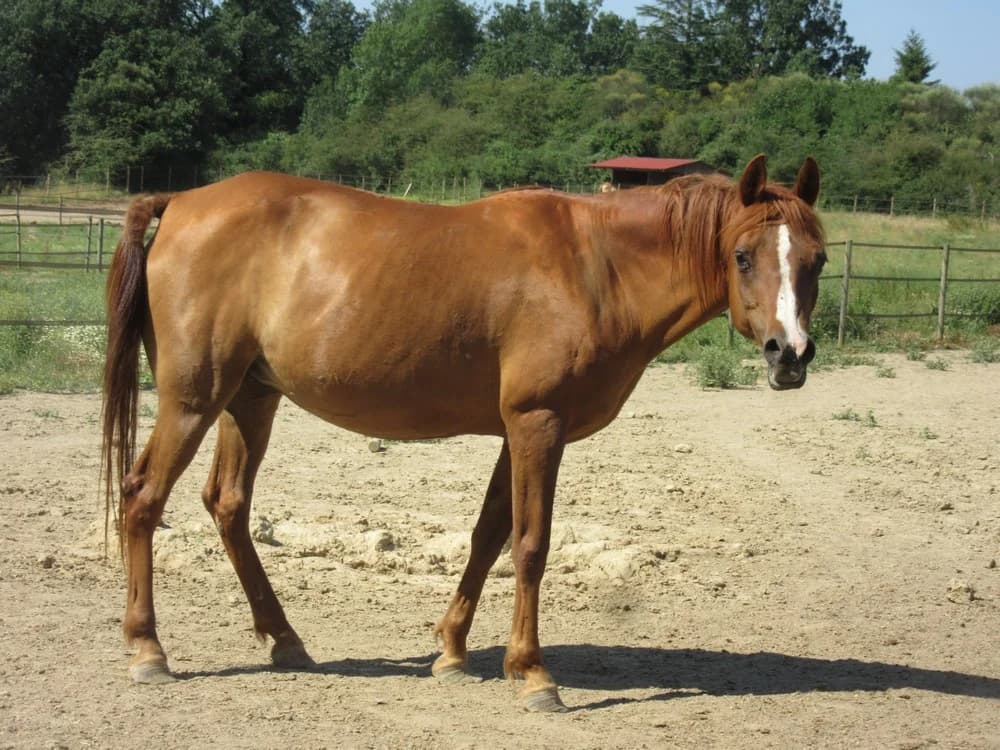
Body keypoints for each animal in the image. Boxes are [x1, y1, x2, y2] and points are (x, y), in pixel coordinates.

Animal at [102, 154, 825, 712]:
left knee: (227, 505)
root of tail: (181, 202)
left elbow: (488, 535)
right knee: (142, 498)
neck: (598, 266)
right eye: (743, 256)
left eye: (815, 261)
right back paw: (147, 649)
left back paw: (285, 641)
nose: (789, 355)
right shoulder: (539, 423)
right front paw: (532, 674)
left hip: (250, 398)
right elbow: (532, 545)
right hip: (194, 400)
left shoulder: (517, 431)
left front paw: (451, 651)